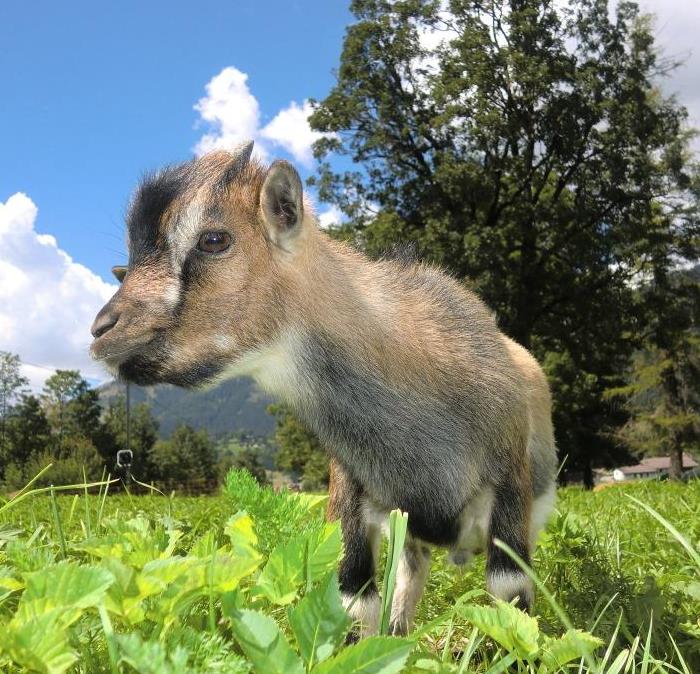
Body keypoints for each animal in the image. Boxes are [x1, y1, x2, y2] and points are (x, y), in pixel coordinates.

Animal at [90, 143, 556, 636]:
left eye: (214, 239)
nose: (102, 330)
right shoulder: (351, 494)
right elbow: (356, 597)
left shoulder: (508, 489)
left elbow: (509, 592)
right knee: (411, 566)